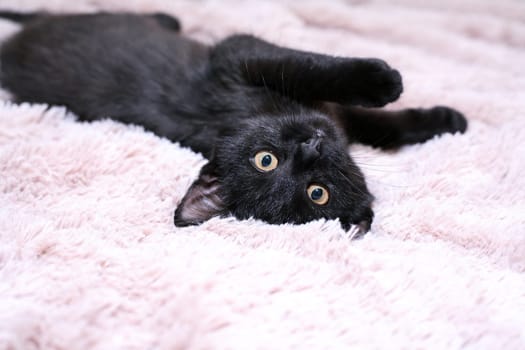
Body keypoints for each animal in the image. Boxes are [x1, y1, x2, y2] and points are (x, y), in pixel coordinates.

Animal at [0, 11, 466, 235]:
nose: (310, 147)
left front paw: (446, 120)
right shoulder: (235, 57)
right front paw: (382, 80)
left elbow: (383, 126)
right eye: (317, 193)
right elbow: (312, 67)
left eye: (265, 159)